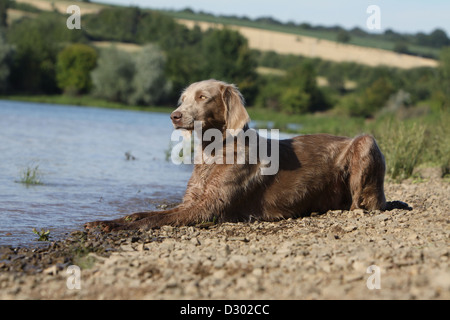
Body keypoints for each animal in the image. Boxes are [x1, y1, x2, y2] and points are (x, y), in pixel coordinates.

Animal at [85, 79, 386, 231]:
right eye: (183, 98)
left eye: (202, 97)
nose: (174, 116)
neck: (214, 152)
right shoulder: (191, 201)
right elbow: (141, 213)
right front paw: (106, 221)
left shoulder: (209, 208)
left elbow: (154, 219)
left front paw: (121, 228)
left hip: (366, 141)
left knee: (362, 203)